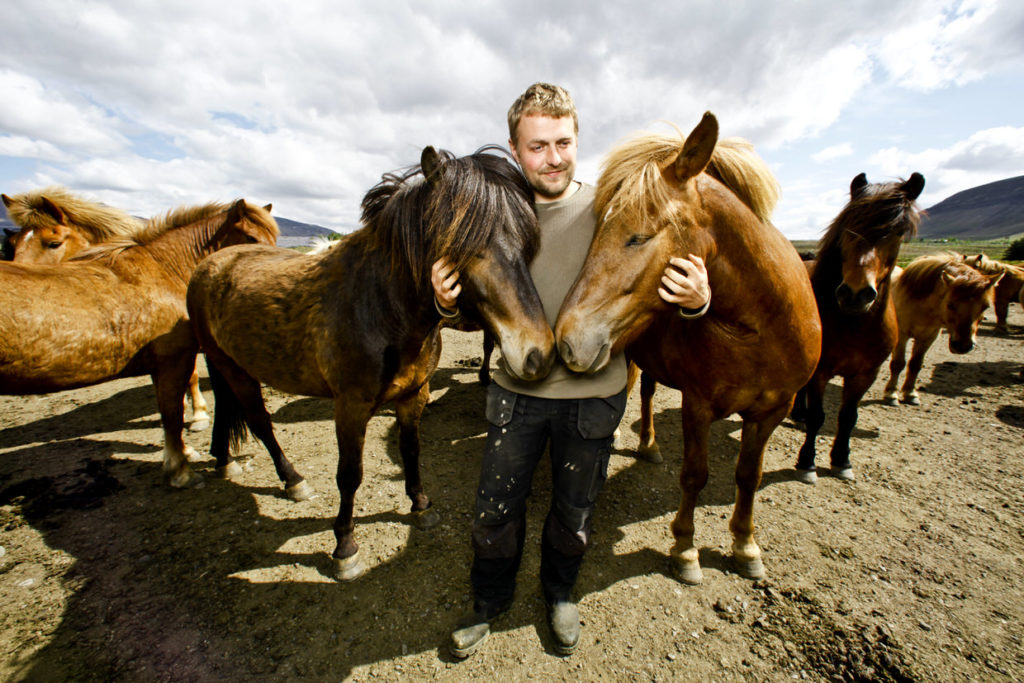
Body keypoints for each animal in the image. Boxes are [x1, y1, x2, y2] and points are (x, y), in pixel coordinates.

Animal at [184, 145, 552, 581]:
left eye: (527, 242)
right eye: (462, 243)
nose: (538, 353)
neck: (380, 308)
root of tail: (212, 264)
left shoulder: (414, 395)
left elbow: (411, 450)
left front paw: (420, 505)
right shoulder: (351, 406)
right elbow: (350, 475)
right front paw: (345, 546)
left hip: (226, 363)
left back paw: (224, 460)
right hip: (234, 369)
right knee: (259, 421)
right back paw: (293, 480)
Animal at [552, 114, 823, 585]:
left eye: (637, 237)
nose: (568, 339)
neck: (762, 329)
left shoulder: (773, 410)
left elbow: (748, 476)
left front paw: (745, 544)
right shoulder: (698, 405)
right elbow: (695, 475)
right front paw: (685, 549)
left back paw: (649, 444)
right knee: (636, 392)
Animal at [790, 172, 929, 485]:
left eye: (898, 232)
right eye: (849, 227)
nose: (855, 293)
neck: (853, 323)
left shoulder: (867, 373)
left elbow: (848, 417)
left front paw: (842, 459)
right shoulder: (821, 370)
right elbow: (819, 416)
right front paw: (807, 462)